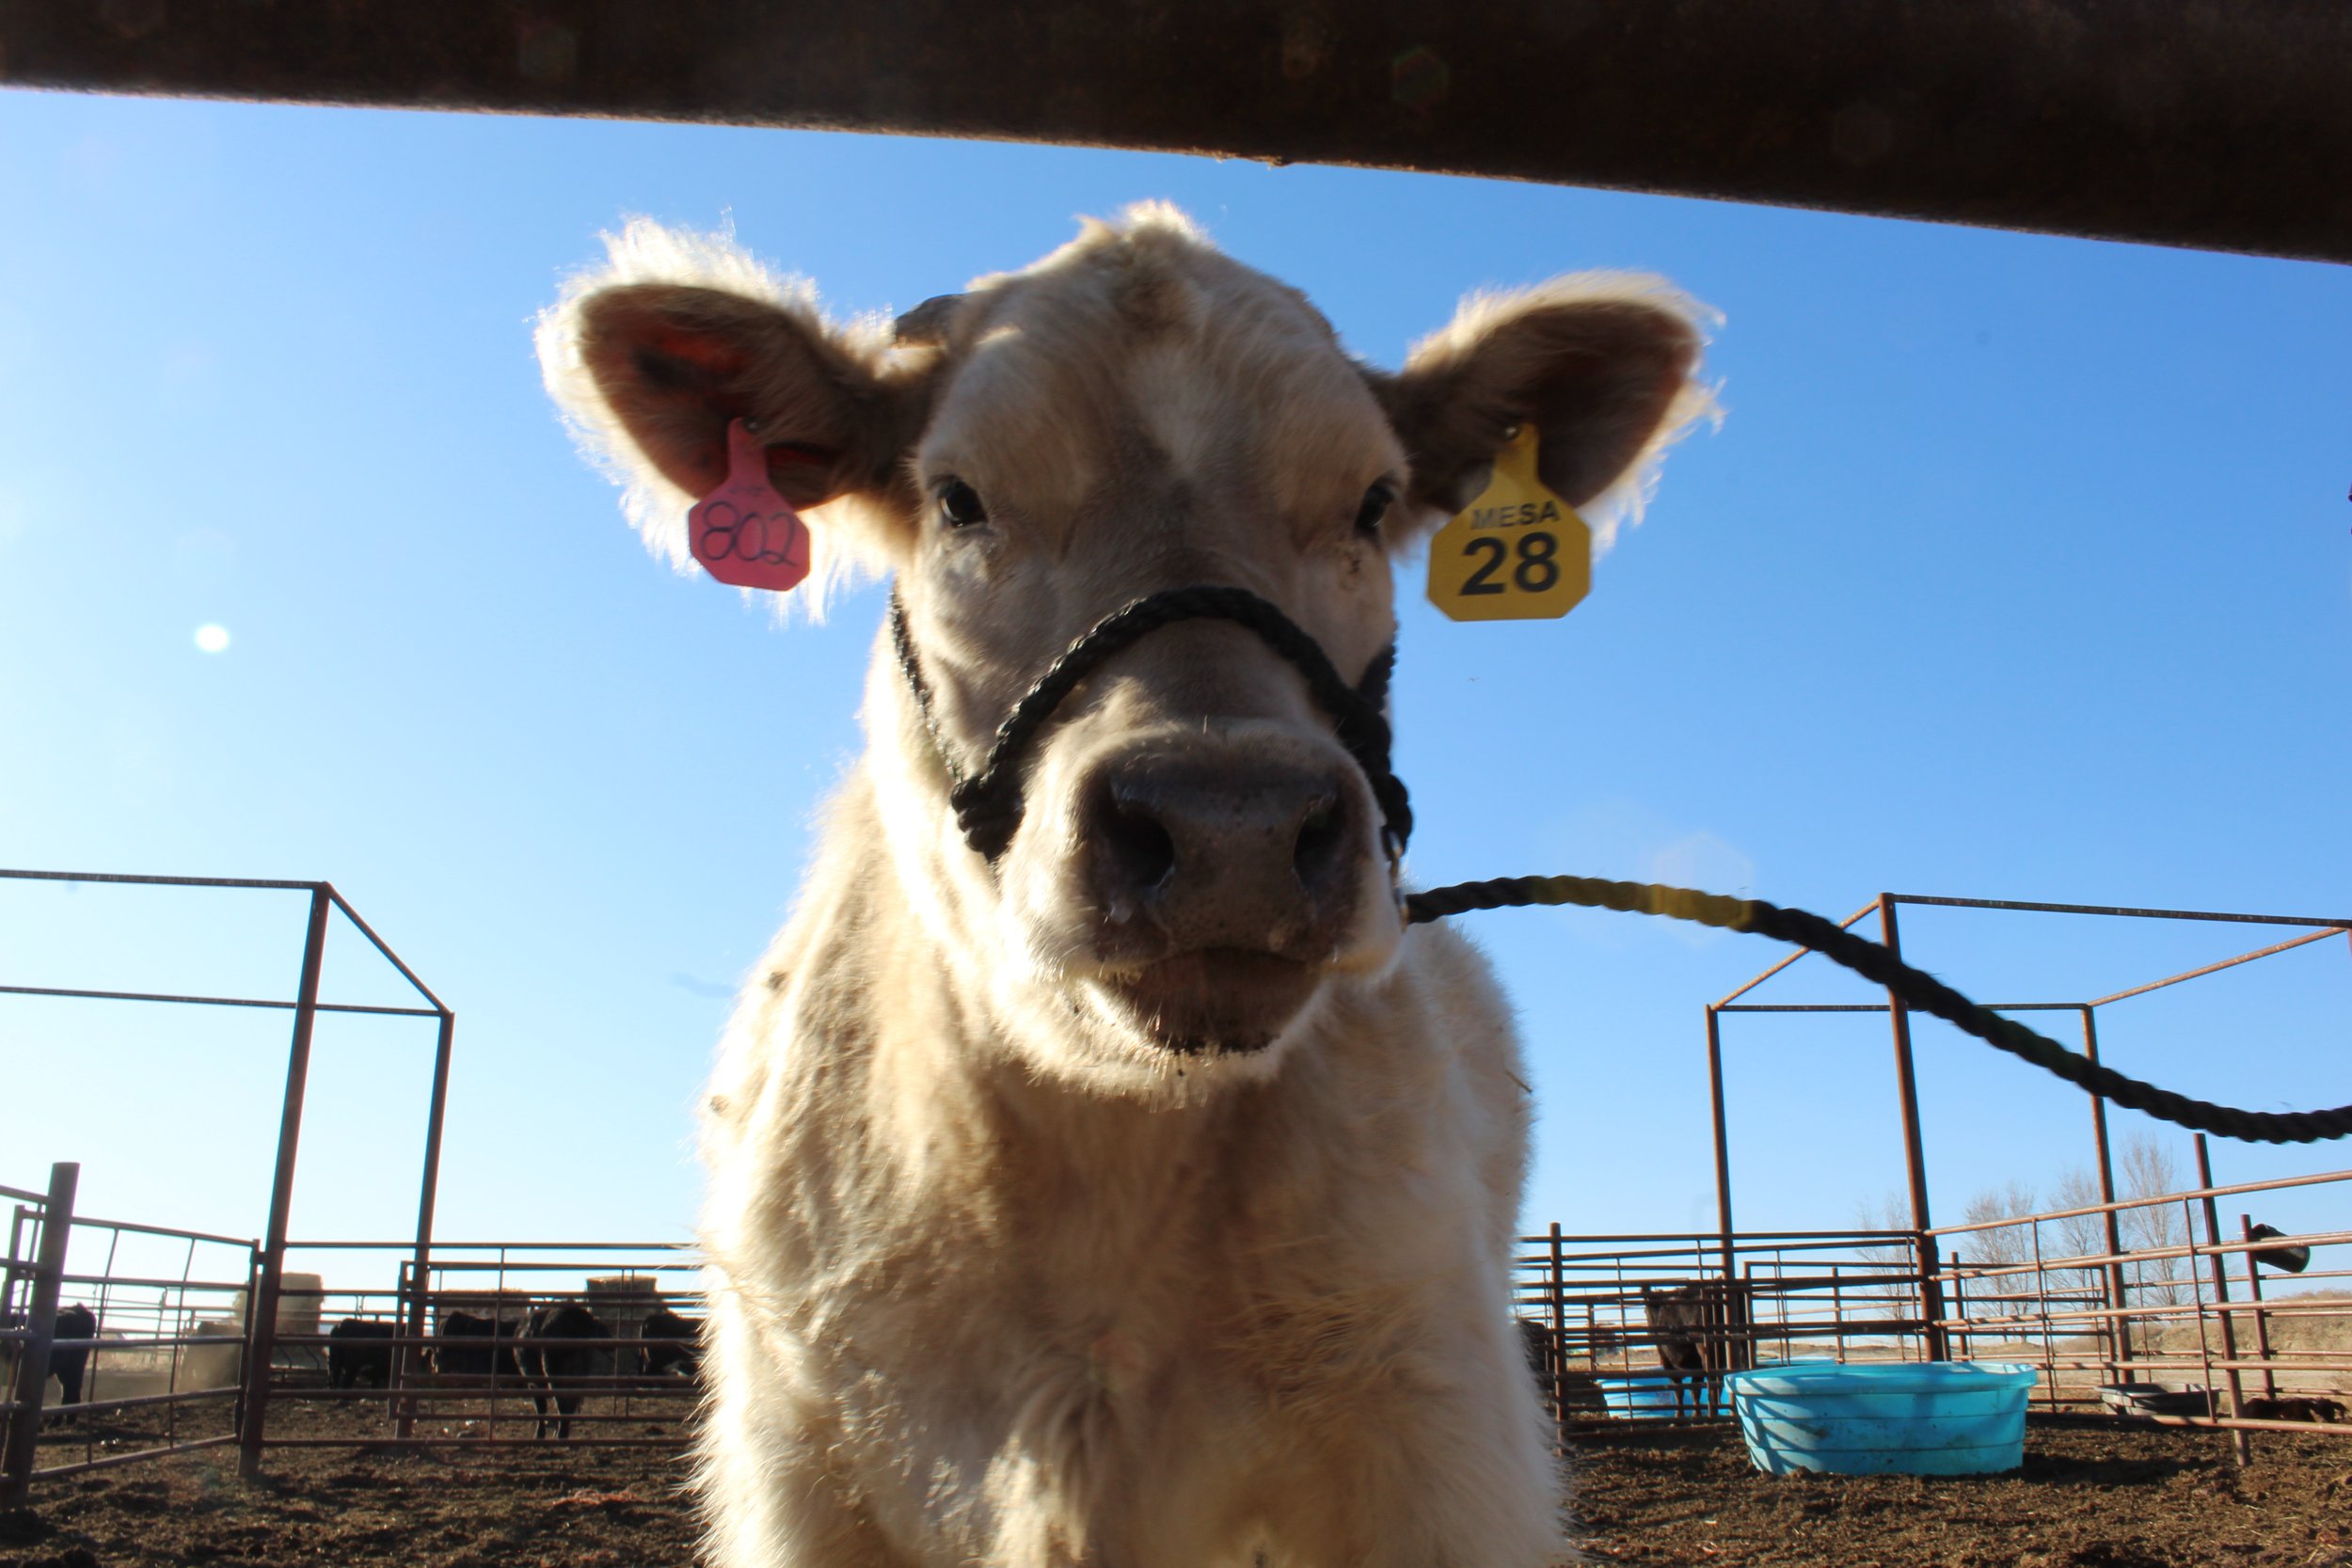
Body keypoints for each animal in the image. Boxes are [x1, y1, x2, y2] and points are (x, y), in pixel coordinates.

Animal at [516, 1302, 609, 1440]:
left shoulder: (533, 1383)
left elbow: (541, 1407)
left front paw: (539, 1434)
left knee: (562, 1404)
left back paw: (560, 1434)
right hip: (578, 1377)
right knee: (569, 1404)